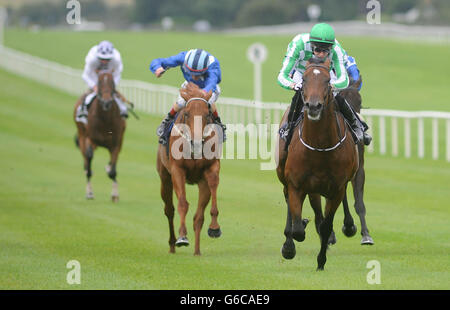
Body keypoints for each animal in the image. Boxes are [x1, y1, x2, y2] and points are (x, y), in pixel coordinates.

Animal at [72, 70, 125, 201]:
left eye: (112, 82)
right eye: (99, 82)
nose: (106, 102)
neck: (105, 120)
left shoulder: (116, 143)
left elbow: (113, 171)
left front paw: (115, 194)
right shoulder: (91, 139)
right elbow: (89, 157)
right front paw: (90, 192)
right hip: (82, 136)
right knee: (86, 161)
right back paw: (89, 190)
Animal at [156, 82, 223, 256]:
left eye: (207, 114)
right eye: (186, 113)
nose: (196, 142)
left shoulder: (210, 169)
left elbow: (213, 185)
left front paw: (214, 228)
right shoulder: (177, 170)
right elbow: (182, 204)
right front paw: (182, 237)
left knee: (198, 217)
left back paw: (197, 251)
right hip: (164, 177)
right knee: (169, 210)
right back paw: (172, 244)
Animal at [274, 57, 358, 268]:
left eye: (327, 81)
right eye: (304, 79)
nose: (313, 106)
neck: (320, 147)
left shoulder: (336, 189)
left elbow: (326, 225)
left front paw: (321, 261)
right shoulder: (296, 185)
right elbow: (297, 229)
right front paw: (291, 244)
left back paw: (348, 225)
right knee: (290, 203)